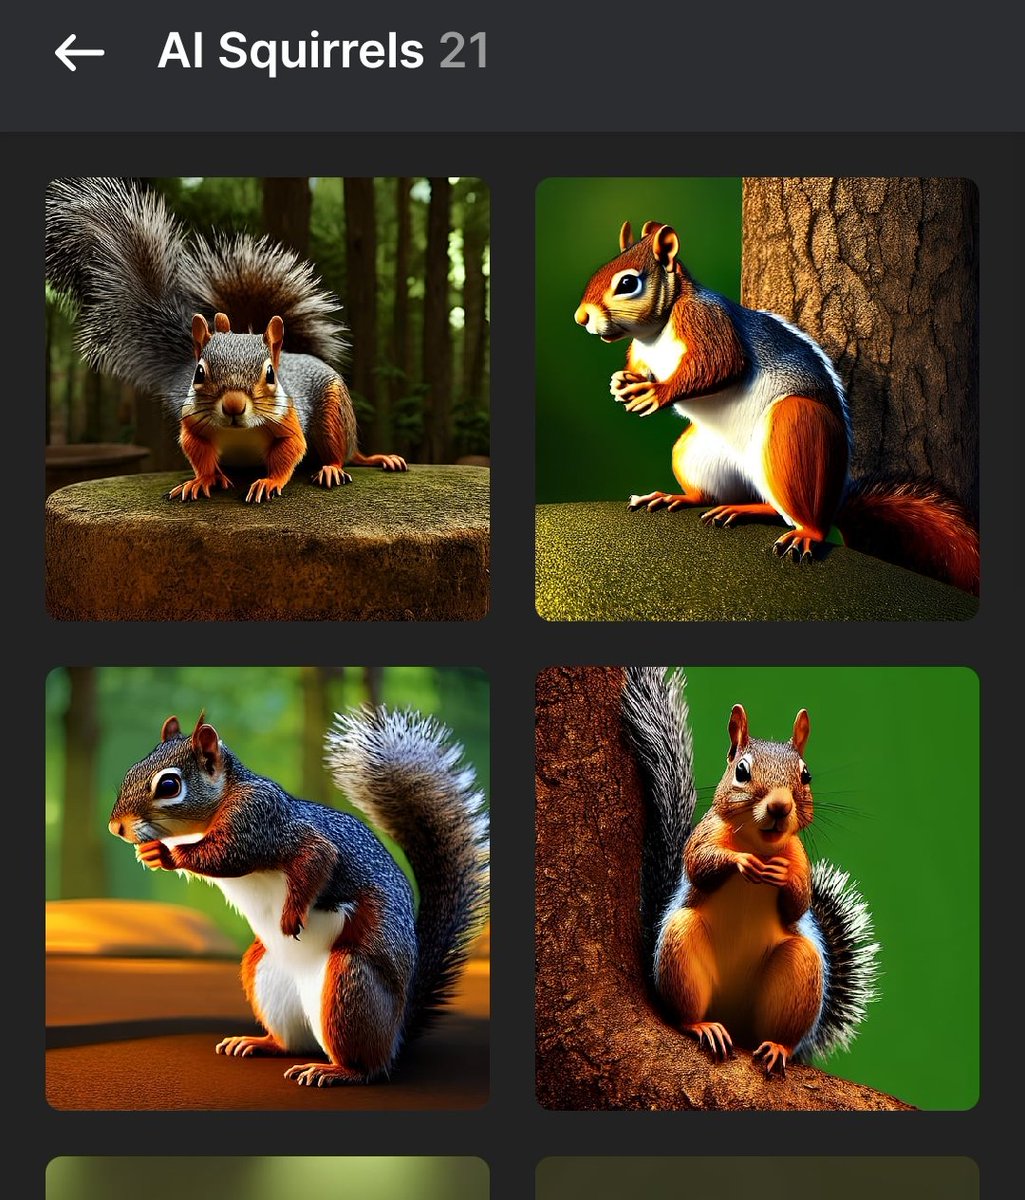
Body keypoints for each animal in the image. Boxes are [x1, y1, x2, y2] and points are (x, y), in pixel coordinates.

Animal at [46, 177, 407, 503]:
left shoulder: (289, 420)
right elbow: (198, 453)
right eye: (199, 372)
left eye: (270, 375)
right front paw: (203, 479)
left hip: (334, 409)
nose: (233, 405)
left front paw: (269, 482)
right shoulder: (192, 422)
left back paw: (350, 464)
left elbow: (290, 450)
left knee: (344, 451)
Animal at [107, 705, 489, 1087]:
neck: (219, 804)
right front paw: (152, 854)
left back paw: (335, 1071)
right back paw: (258, 1043)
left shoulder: (263, 819)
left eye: (169, 786)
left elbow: (308, 855)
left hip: (351, 985)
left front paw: (169, 855)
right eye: (131, 771)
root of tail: (397, 1033)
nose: (116, 827)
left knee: (369, 1065)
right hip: (265, 974)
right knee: (292, 1042)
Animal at [574, 220, 979, 593]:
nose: (582, 317)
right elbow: (637, 369)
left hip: (795, 430)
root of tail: (831, 499)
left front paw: (657, 393)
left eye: (628, 283)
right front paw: (619, 384)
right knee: (720, 496)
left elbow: (721, 363)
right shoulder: (641, 354)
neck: (655, 332)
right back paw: (679, 497)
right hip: (695, 453)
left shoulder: (706, 322)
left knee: (799, 517)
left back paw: (797, 530)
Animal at [621, 666, 879, 1078]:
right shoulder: (705, 835)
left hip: (801, 972)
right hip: (680, 946)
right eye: (741, 771)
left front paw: (781, 876)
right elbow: (698, 865)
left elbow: (798, 901)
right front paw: (741, 862)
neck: (759, 842)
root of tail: (736, 1024)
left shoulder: (799, 856)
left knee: (781, 1030)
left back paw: (777, 1046)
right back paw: (704, 1026)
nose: (779, 806)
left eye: (806, 776)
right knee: (685, 1011)